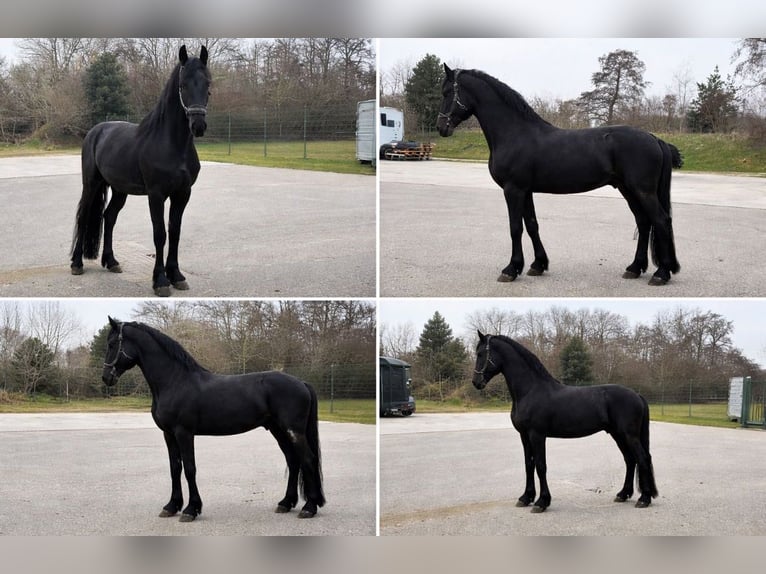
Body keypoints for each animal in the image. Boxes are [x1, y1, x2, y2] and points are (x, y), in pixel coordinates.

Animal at [70, 45, 211, 297]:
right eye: (183, 85)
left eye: (208, 85)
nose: (198, 126)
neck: (172, 145)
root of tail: (96, 131)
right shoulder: (156, 195)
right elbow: (160, 234)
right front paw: (161, 281)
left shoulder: (183, 194)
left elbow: (175, 232)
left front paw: (177, 276)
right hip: (92, 184)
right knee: (84, 216)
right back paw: (77, 264)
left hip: (119, 190)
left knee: (109, 217)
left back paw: (112, 262)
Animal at [101, 316, 325, 521]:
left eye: (112, 344)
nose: (106, 378)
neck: (174, 381)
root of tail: (302, 383)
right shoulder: (168, 434)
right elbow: (175, 468)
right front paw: (171, 506)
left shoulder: (184, 433)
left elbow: (190, 469)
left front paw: (191, 510)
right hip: (279, 430)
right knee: (293, 460)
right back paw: (286, 503)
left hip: (293, 431)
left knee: (308, 459)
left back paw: (309, 508)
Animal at [437, 64, 682, 286]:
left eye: (447, 92)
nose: (441, 127)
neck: (514, 133)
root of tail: (654, 138)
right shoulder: (525, 191)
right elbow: (532, 225)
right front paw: (537, 265)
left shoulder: (513, 190)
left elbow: (515, 227)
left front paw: (511, 269)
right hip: (628, 189)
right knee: (643, 222)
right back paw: (634, 268)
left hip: (642, 190)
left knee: (661, 220)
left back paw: (661, 273)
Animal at [472, 331, 657, 512]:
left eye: (481, 354)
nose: (476, 382)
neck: (530, 390)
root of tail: (637, 395)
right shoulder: (524, 435)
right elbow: (528, 464)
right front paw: (525, 498)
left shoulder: (537, 435)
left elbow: (540, 465)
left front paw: (542, 502)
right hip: (618, 434)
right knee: (630, 460)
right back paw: (623, 494)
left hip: (629, 435)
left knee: (642, 458)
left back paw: (644, 499)